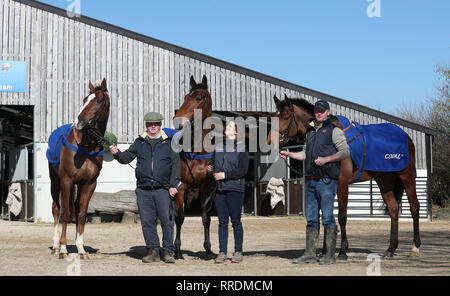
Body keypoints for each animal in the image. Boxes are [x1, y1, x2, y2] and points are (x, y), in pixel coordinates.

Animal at [48, 78, 110, 260]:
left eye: (98, 100)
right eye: (84, 99)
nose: (80, 122)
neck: (86, 147)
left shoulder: (89, 184)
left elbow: (81, 214)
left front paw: (81, 249)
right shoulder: (66, 181)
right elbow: (65, 213)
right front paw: (63, 249)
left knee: (75, 209)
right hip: (55, 181)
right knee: (56, 209)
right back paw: (56, 246)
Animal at [268, 95, 422, 260]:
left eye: (285, 117)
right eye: (274, 116)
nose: (270, 142)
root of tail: (407, 137)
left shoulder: (342, 184)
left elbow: (342, 216)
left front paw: (342, 251)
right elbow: (326, 215)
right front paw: (325, 251)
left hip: (407, 177)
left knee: (414, 207)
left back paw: (415, 247)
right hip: (384, 181)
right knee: (393, 208)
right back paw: (391, 249)